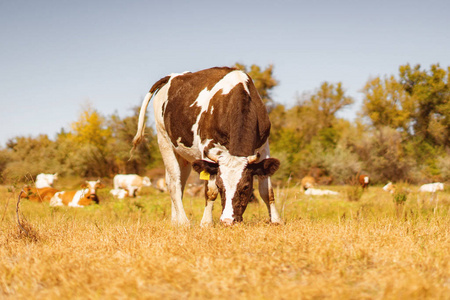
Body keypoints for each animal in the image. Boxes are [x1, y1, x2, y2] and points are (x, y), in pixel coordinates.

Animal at [132, 67, 282, 226]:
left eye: (246, 186)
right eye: (220, 185)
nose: (227, 221)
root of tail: (171, 77)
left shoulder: (263, 149)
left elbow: (267, 191)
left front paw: (276, 220)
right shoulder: (209, 150)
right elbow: (210, 191)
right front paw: (206, 222)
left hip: (183, 155)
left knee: (176, 182)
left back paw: (175, 221)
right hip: (164, 141)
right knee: (174, 183)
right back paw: (184, 221)